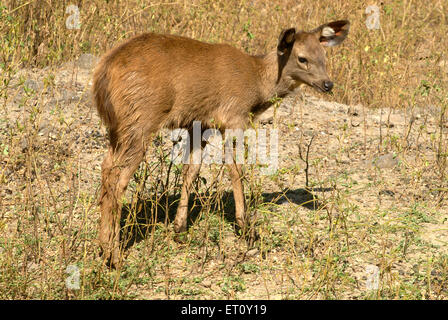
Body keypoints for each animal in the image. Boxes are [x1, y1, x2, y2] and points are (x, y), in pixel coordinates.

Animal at [92, 19, 350, 264]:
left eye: (323, 56)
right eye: (302, 58)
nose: (328, 84)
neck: (258, 83)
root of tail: (103, 73)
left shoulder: (199, 123)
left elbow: (191, 170)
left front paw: (180, 228)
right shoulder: (233, 117)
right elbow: (236, 172)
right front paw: (246, 228)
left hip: (118, 127)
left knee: (106, 167)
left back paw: (106, 247)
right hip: (141, 117)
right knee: (118, 177)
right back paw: (113, 254)